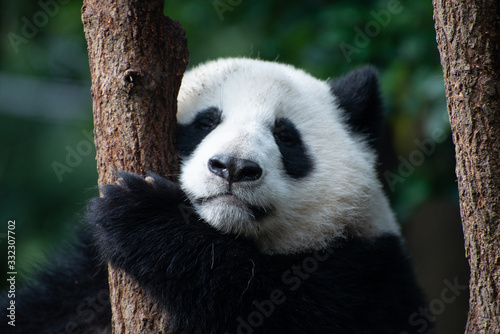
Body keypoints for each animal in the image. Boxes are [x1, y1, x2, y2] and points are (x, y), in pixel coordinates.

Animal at [1, 58, 432, 334]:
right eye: (206, 122)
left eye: (285, 135)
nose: (233, 167)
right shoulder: (81, 290)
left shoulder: (367, 280)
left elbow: (264, 303)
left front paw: (141, 216)